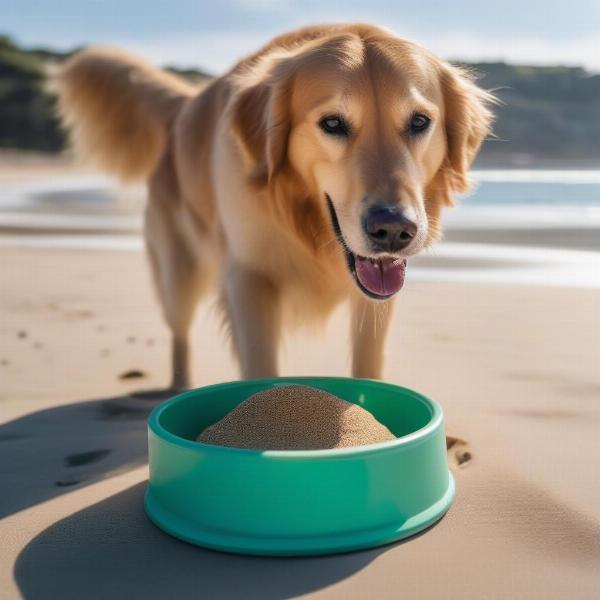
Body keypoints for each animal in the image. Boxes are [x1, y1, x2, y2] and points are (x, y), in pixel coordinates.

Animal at [56, 23, 494, 386]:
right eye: (332, 123)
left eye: (419, 121)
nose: (393, 229)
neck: (305, 225)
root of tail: (185, 106)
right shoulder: (248, 279)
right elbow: (260, 368)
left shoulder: (376, 297)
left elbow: (368, 363)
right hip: (177, 274)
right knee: (179, 332)